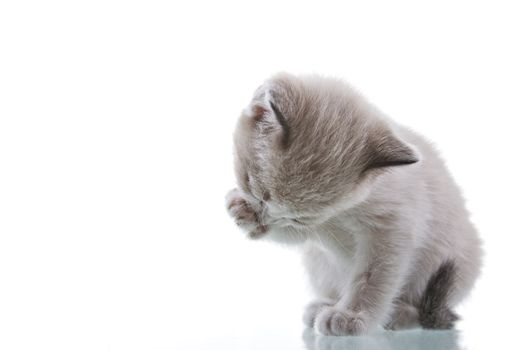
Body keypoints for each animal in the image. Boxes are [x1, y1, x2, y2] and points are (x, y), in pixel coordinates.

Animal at [223, 73, 482, 336]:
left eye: (299, 217)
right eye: (252, 186)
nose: (264, 216)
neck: (343, 213)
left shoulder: (390, 232)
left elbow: (372, 279)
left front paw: (351, 316)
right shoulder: (313, 230)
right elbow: (291, 236)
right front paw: (242, 211)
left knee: (421, 304)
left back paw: (400, 314)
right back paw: (323, 306)